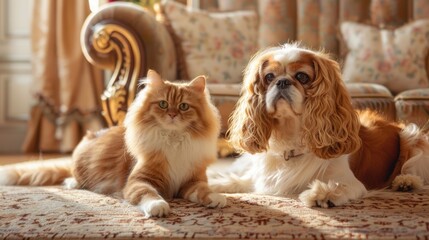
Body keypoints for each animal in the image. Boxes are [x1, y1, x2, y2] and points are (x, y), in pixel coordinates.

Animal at [0, 70, 227, 218]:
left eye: (183, 106)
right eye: (163, 104)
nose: (172, 115)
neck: (173, 140)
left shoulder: (192, 180)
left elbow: (204, 191)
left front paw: (217, 198)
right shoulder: (139, 181)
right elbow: (148, 194)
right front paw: (158, 207)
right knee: (72, 176)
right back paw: (73, 183)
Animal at [209, 43, 428, 208]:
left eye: (302, 77)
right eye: (269, 77)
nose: (281, 82)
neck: (291, 136)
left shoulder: (353, 183)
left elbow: (339, 186)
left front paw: (322, 194)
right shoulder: (261, 179)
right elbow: (238, 180)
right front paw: (215, 183)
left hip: (412, 135)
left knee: (414, 168)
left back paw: (406, 182)